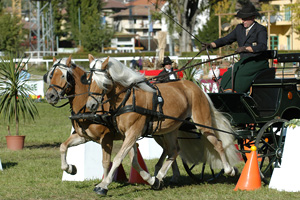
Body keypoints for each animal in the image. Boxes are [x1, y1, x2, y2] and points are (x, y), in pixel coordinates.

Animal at [42, 56, 180, 184]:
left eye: (63, 75)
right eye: (51, 75)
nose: (50, 96)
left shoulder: (106, 137)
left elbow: (106, 162)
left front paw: (104, 182)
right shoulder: (84, 136)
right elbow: (63, 146)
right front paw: (71, 168)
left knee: (172, 149)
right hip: (161, 132)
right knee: (170, 149)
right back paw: (166, 175)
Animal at [85, 54, 241, 195]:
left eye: (103, 81)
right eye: (89, 80)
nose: (90, 105)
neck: (128, 98)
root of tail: (196, 87)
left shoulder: (133, 132)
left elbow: (118, 158)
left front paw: (103, 186)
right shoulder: (127, 135)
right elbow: (134, 161)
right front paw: (151, 180)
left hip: (203, 124)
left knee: (218, 144)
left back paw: (230, 170)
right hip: (171, 129)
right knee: (174, 150)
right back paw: (159, 177)